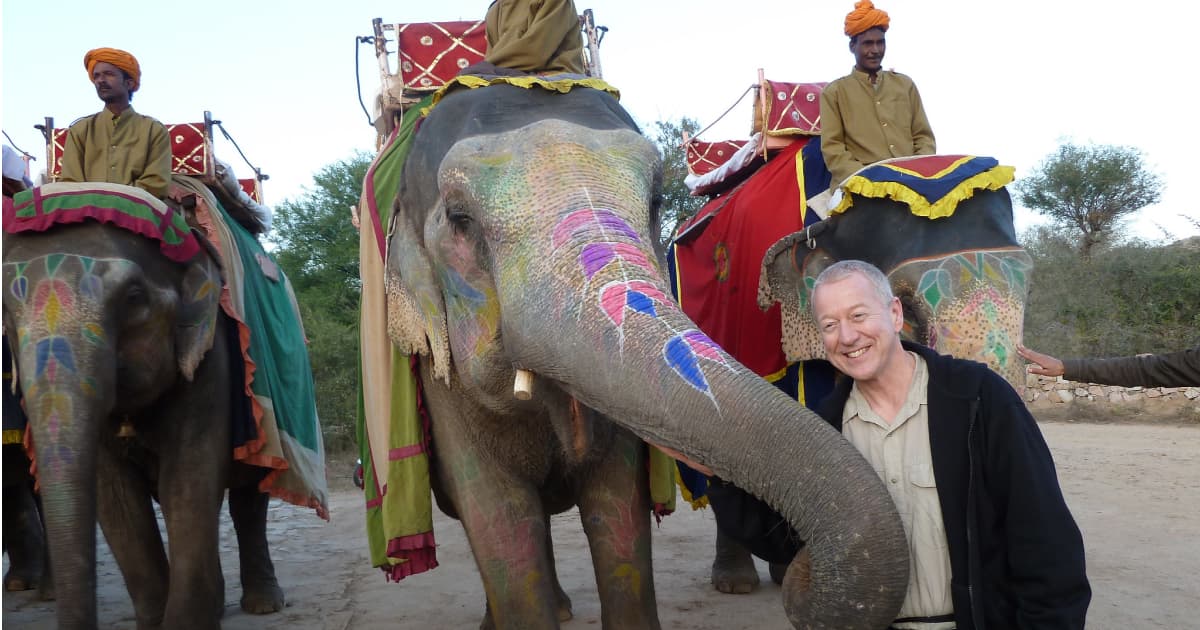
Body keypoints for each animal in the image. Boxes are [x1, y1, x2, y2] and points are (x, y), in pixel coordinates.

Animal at [2, 187, 285, 628]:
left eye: (134, 299)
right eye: (5, 316)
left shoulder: (210, 356)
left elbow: (188, 479)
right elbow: (117, 498)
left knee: (250, 494)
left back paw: (263, 604)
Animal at [384, 79, 907, 628]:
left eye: (656, 201)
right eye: (459, 220)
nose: (803, 573)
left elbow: (617, 506)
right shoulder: (437, 375)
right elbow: (498, 518)